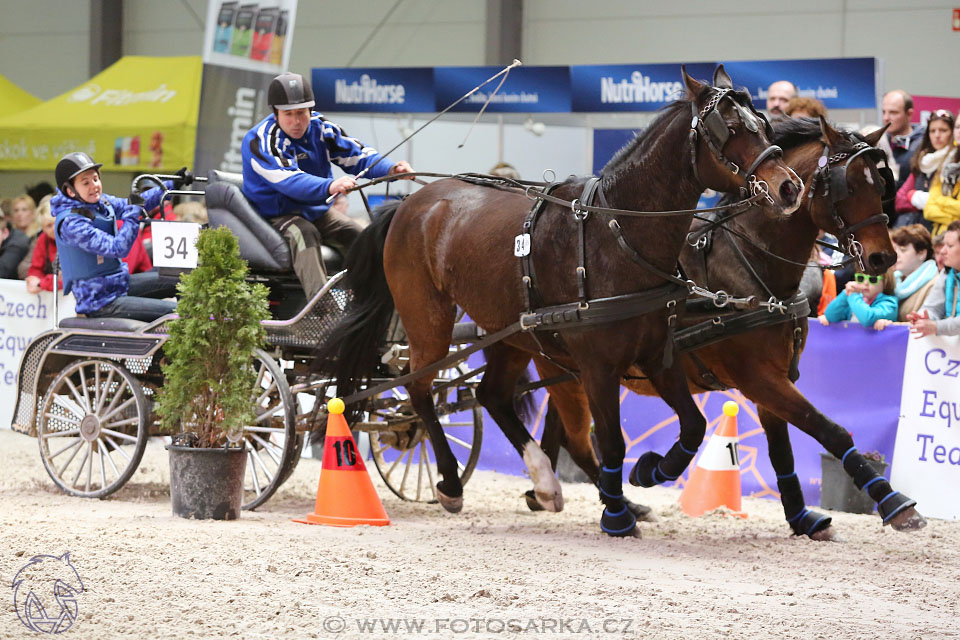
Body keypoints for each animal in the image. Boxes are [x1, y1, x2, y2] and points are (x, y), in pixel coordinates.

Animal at [316, 66, 804, 536]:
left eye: (765, 125)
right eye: (731, 128)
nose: (790, 188)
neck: (618, 234)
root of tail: (411, 201)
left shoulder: (656, 354)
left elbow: (693, 426)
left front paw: (649, 473)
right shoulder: (598, 366)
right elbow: (611, 442)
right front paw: (617, 516)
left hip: (509, 331)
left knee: (492, 395)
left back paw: (545, 482)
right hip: (426, 316)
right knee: (420, 388)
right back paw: (452, 484)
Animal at [528, 115, 928, 536]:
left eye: (880, 184)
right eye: (847, 185)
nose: (883, 257)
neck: (750, 265)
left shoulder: (775, 377)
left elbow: (783, 451)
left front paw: (801, 517)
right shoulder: (758, 377)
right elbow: (828, 429)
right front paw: (894, 502)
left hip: (574, 373)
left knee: (568, 434)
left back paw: (569, 496)